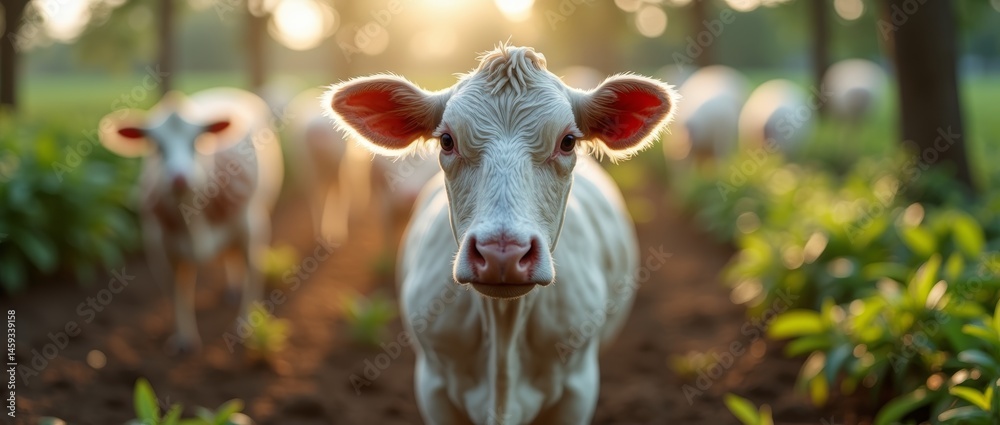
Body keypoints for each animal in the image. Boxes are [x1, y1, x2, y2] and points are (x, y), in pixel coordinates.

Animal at [99, 88, 284, 353]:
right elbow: (178, 293)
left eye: (196, 141)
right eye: (157, 146)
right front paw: (184, 338)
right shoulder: (159, 246)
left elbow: (253, 278)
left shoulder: (253, 227)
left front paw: (246, 327)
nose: (179, 177)